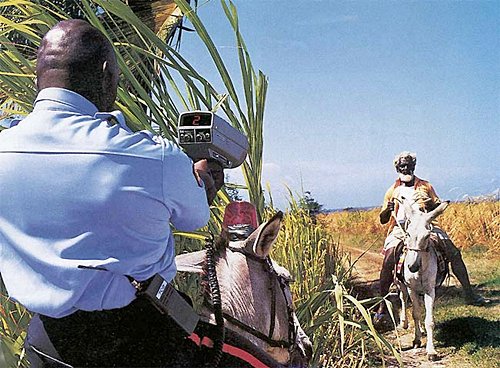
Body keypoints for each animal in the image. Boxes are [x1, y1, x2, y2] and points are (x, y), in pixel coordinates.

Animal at [394, 200, 450, 360]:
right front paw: (417, 340)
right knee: (403, 299)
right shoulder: (411, 288)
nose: (412, 266)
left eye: (427, 236)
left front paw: (431, 351)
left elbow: (429, 321)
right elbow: (416, 314)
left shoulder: (430, 290)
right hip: (402, 285)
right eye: (408, 233)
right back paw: (404, 323)